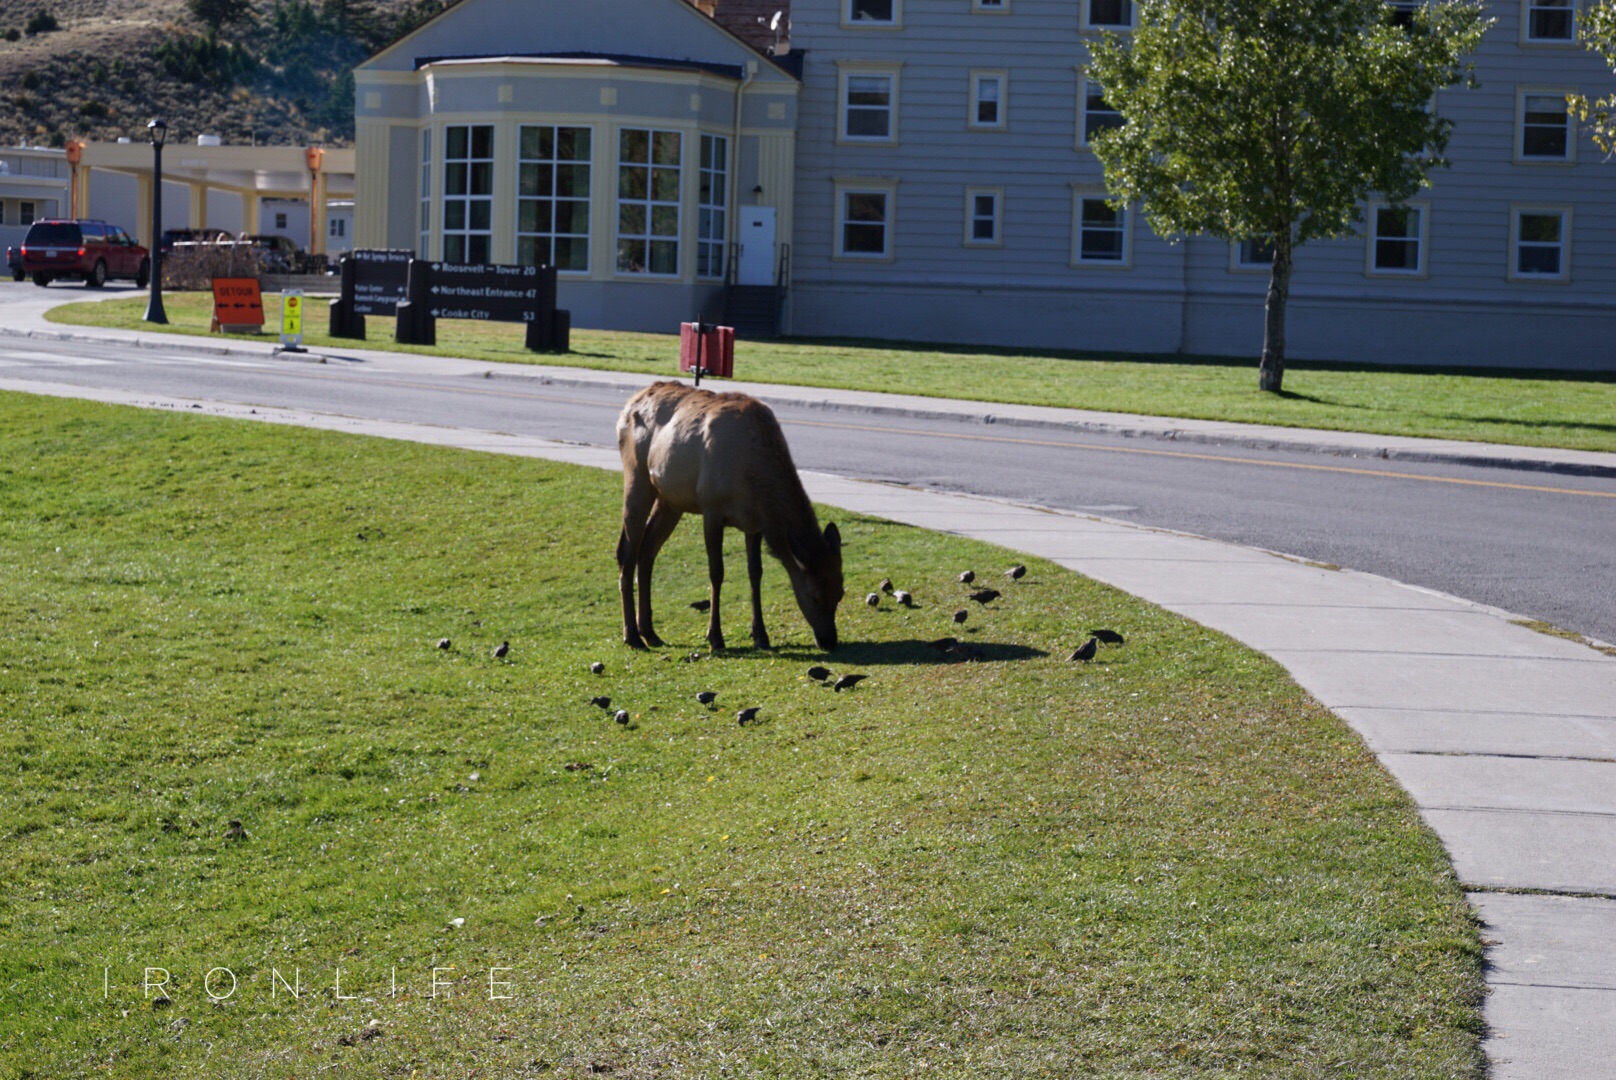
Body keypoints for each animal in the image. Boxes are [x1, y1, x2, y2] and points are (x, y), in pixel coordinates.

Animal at [617, 381, 846, 649]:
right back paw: (632, 635)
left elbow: (755, 572)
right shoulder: (711, 509)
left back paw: (650, 632)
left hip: (670, 500)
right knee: (626, 553)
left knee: (646, 552)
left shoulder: (755, 523)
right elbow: (716, 572)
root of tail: (629, 404)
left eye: (840, 592)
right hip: (637, 477)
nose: (829, 640)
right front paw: (715, 637)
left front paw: (760, 635)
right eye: (815, 596)